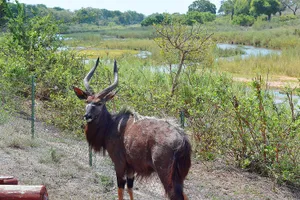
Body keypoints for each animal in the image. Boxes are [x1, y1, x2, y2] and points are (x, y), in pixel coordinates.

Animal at [73, 58, 191, 200]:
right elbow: (130, 188)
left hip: (166, 174)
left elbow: (120, 189)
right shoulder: (130, 168)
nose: (87, 116)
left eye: (99, 103)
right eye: (87, 102)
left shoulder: (119, 164)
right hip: (178, 177)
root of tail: (183, 140)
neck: (111, 124)